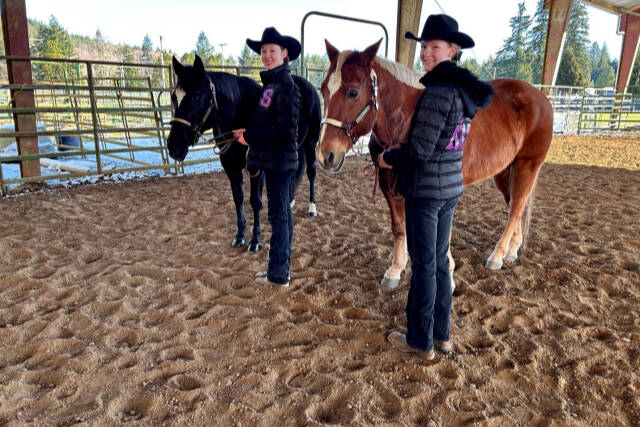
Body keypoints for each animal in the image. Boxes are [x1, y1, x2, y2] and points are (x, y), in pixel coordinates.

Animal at [168, 55, 322, 252]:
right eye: (174, 97)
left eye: (196, 96)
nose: (174, 146)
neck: (242, 115)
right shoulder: (230, 167)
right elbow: (238, 198)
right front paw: (240, 236)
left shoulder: (256, 168)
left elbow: (255, 201)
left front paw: (255, 240)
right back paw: (290, 201)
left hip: (311, 143)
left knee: (311, 172)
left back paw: (312, 208)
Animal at [316, 40, 553, 288]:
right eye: (323, 89)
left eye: (353, 92)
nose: (326, 155)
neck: (408, 121)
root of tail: (541, 97)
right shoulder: (390, 187)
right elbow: (399, 228)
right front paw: (395, 270)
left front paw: (447, 273)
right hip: (505, 171)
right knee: (515, 205)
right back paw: (512, 250)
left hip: (527, 166)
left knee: (516, 207)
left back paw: (497, 256)